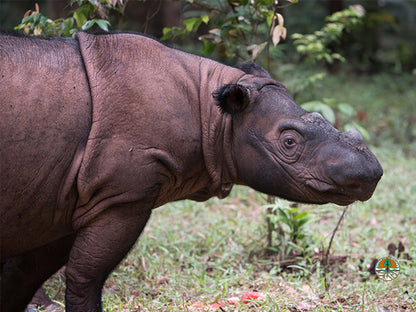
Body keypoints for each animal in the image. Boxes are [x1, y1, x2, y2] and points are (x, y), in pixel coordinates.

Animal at [0, 33, 384, 310]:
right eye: (289, 142)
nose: (372, 174)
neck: (213, 114)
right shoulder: (121, 197)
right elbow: (85, 278)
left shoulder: (60, 198)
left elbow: (23, 277)